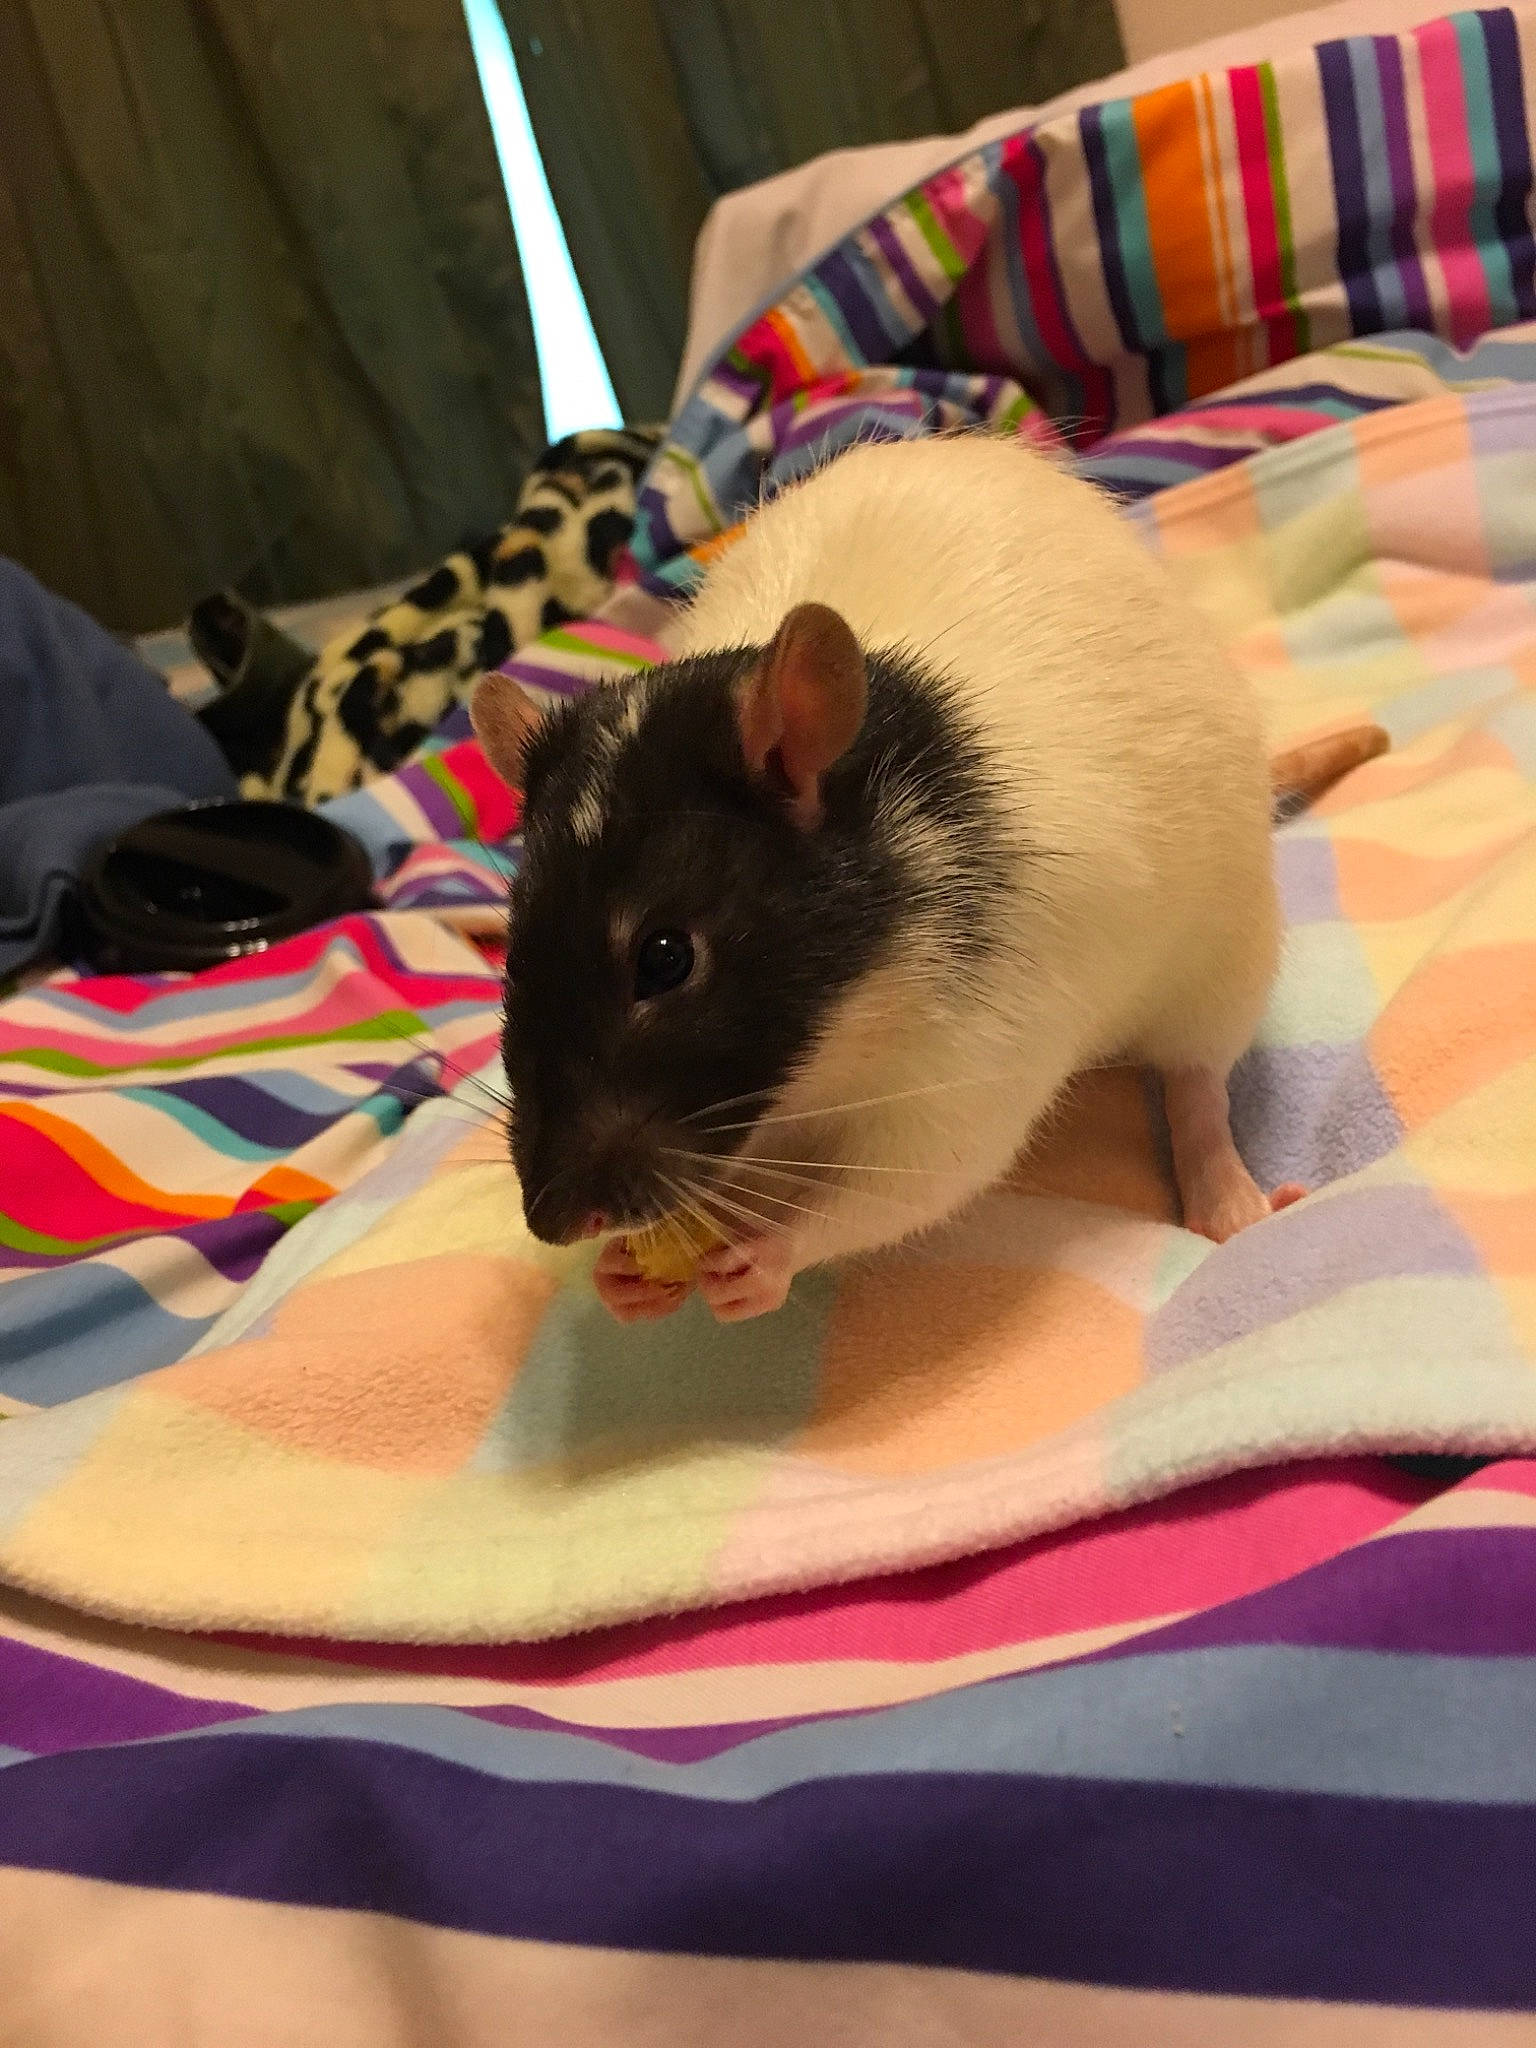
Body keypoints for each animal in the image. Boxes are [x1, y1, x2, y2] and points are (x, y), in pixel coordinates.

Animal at [471, 433, 1302, 1325]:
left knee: (1198, 1075)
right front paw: (621, 1276)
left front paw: (772, 1253)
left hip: (1229, 947)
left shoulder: (974, 1044)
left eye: (665, 958)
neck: (831, 1059)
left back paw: (1223, 1189)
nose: (556, 1220)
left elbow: (925, 1170)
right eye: (513, 957)